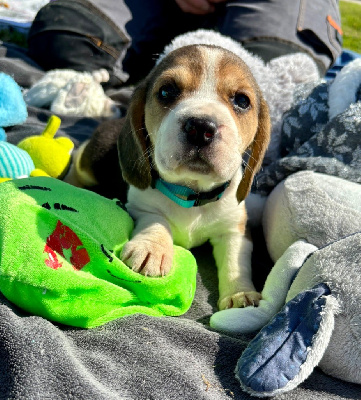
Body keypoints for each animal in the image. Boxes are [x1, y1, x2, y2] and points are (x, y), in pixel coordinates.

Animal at [70, 42, 268, 310]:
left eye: (241, 100)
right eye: (166, 92)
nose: (201, 127)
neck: (191, 193)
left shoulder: (234, 227)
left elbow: (235, 260)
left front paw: (241, 295)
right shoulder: (140, 206)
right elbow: (157, 220)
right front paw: (152, 250)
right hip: (89, 161)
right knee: (77, 157)